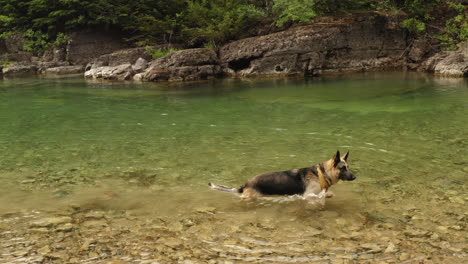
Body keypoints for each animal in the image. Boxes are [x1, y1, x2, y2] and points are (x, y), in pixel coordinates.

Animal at [208, 150, 354, 199]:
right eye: (343, 168)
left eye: (348, 167)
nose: (355, 177)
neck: (321, 173)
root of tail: (246, 184)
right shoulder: (308, 195)